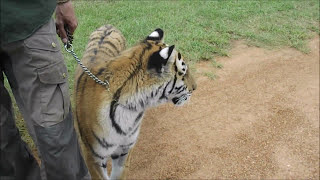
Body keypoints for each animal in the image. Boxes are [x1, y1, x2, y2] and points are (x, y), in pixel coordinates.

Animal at [74, 24, 196, 179]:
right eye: (183, 73)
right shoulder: (92, 156)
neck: (132, 107)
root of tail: (108, 25)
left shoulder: (124, 150)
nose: (195, 87)